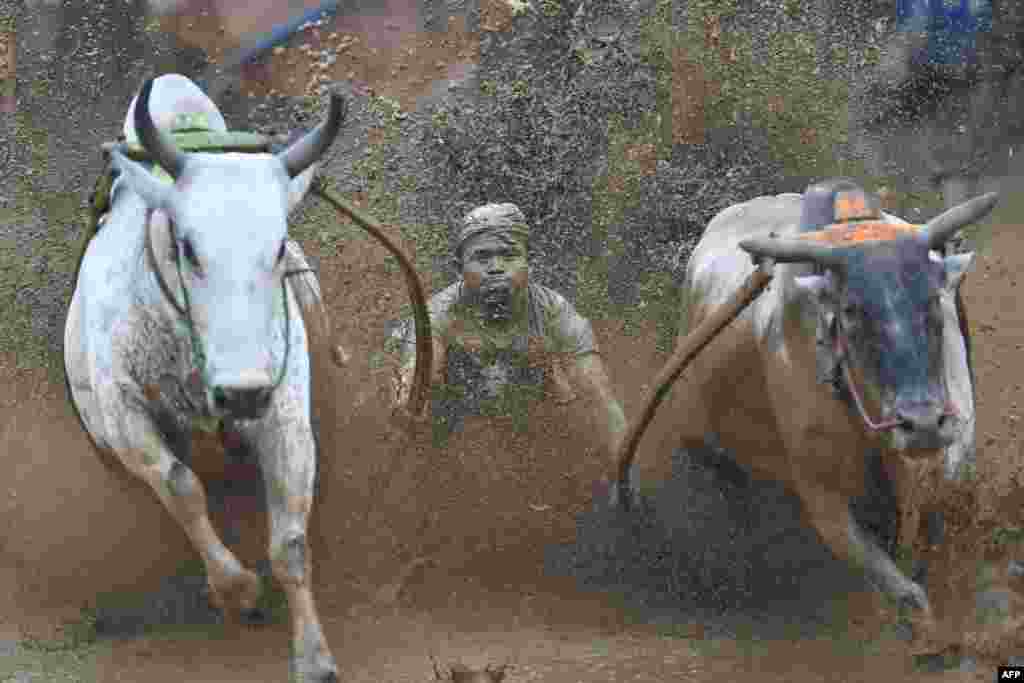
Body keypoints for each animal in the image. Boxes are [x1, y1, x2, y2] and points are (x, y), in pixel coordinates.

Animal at [64, 74, 344, 683]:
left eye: (279, 245)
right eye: (188, 247)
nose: (241, 393)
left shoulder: (285, 412)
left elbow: (290, 542)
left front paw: (314, 658)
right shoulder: (123, 416)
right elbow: (180, 487)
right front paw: (236, 589)